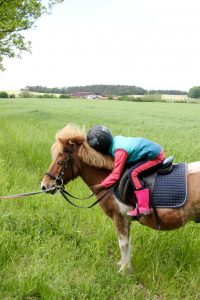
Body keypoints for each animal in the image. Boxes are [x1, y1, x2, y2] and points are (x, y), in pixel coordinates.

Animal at [41, 123, 200, 272]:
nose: (44, 186)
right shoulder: (126, 219)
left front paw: (123, 270)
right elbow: (127, 244)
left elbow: (123, 244)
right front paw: (125, 266)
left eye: (59, 162)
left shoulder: (119, 217)